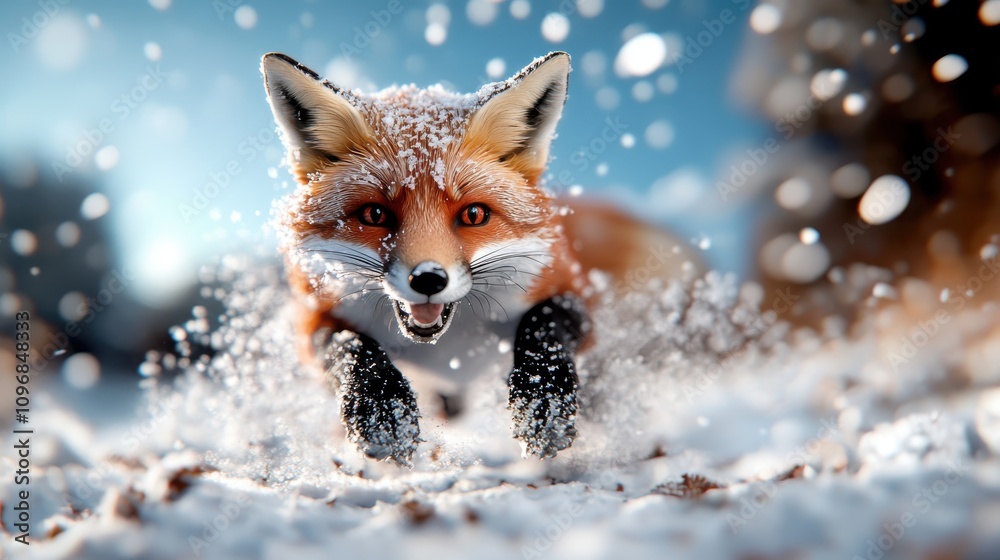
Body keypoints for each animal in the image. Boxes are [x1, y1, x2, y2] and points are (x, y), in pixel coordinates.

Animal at [260, 51, 698, 466]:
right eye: (374, 215)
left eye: (473, 215)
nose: (428, 279)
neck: (445, 345)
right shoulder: (314, 313)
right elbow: (351, 347)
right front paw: (383, 410)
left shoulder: (569, 289)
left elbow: (545, 323)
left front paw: (543, 400)